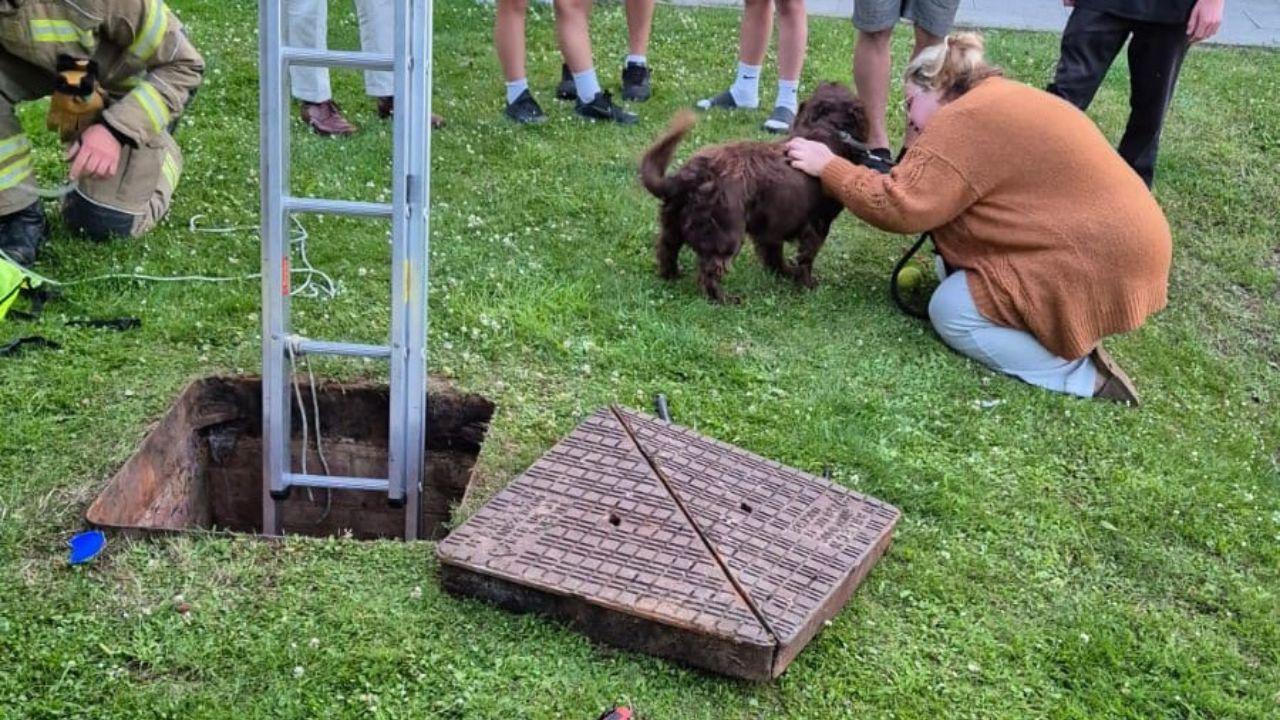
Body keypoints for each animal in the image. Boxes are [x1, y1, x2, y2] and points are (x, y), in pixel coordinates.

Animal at [640, 82, 870, 301]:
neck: (824, 130)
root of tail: (687, 178)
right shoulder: (817, 223)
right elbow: (806, 257)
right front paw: (808, 284)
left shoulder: (772, 226)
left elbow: (774, 254)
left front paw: (785, 273)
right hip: (726, 234)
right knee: (709, 272)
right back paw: (726, 299)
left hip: (672, 223)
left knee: (666, 250)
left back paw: (673, 275)